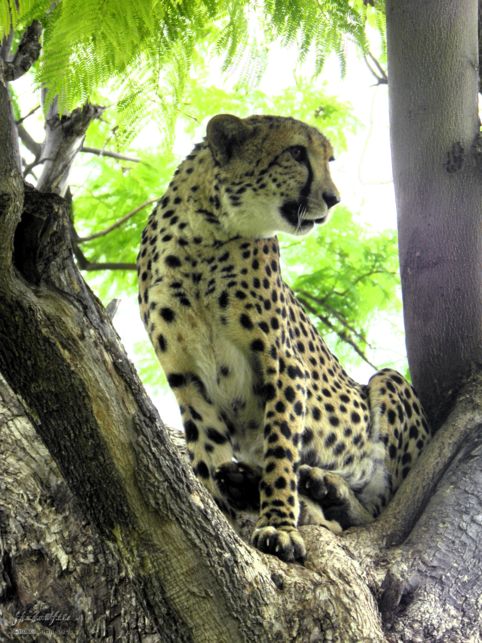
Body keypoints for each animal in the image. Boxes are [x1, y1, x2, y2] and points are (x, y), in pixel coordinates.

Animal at [137, 115, 432, 564]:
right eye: (296, 153)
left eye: (329, 160)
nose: (333, 199)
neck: (205, 234)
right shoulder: (186, 379)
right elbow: (206, 450)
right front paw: (220, 516)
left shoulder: (284, 366)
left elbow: (280, 447)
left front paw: (278, 525)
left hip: (388, 382)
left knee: (375, 508)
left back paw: (325, 490)